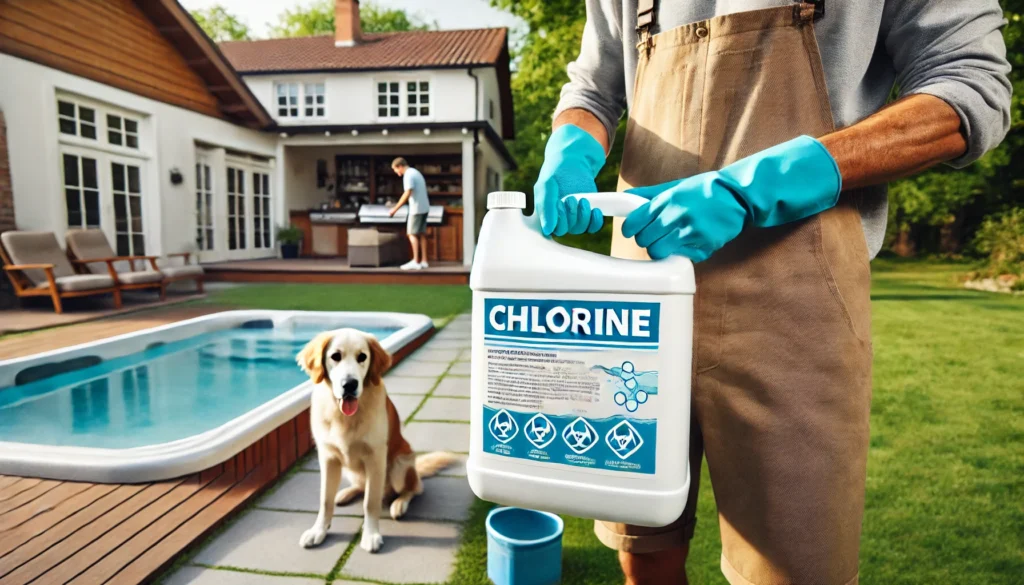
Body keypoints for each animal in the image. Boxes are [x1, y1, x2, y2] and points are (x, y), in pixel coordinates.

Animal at [296, 329, 456, 553]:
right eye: (335, 356)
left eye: (362, 357)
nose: (350, 384)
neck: (344, 416)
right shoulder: (328, 458)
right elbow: (325, 500)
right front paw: (318, 531)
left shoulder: (376, 458)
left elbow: (370, 502)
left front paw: (370, 535)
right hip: (350, 469)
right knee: (361, 486)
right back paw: (345, 494)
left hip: (400, 464)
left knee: (414, 488)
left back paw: (399, 504)